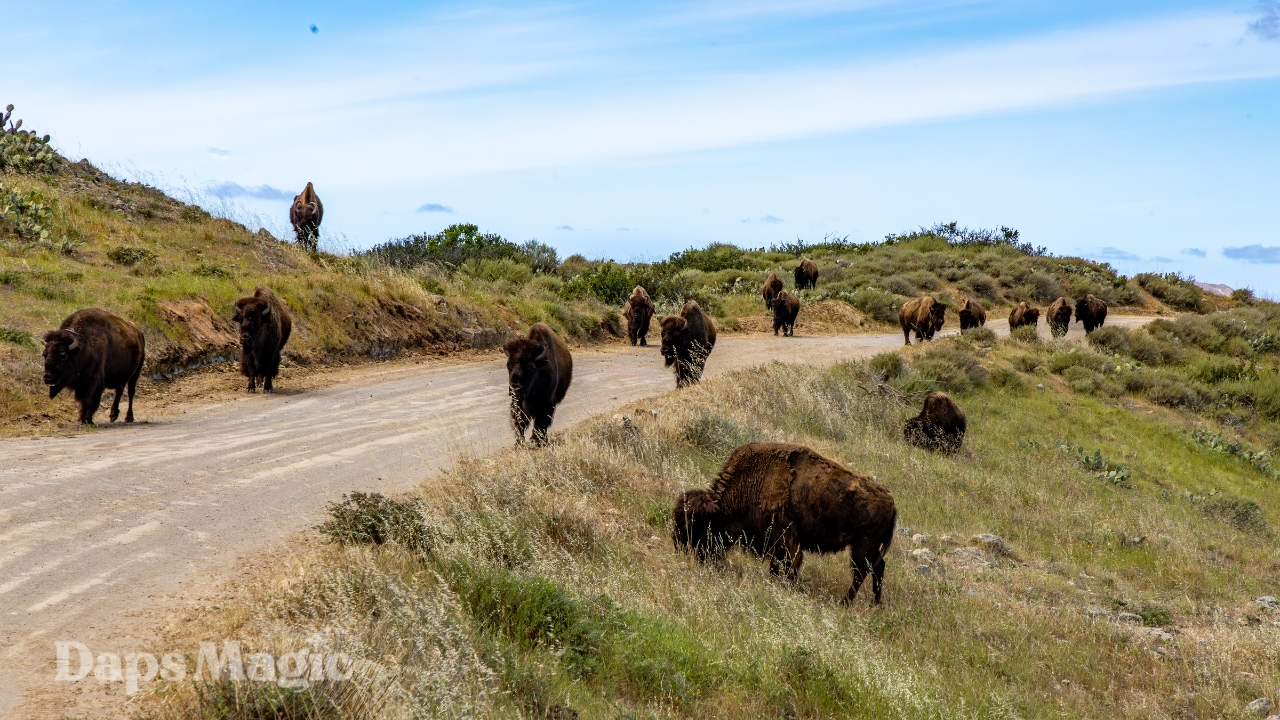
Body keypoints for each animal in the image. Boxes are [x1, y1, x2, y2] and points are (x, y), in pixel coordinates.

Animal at [673, 442, 897, 603]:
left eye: (697, 524)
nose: (680, 546)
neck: (752, 481)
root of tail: (891, 500)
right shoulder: (778, 542)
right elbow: (779, 565)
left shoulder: (784, 537)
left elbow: (790, 563)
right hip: (870, 547)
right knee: (878, 568)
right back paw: (874, 604)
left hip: (863, 545)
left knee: (862, 572)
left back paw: (846, 603)